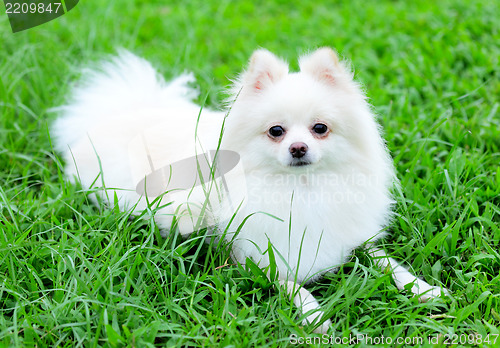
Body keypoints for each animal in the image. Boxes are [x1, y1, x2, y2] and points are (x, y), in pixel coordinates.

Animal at [51, 47, 450, 334]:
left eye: (320, 128)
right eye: (276, 131)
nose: (298, 148)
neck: (302, 188)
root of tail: (123, 113)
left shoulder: (351, 237)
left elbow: (386, 261)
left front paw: (424, 289)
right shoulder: (258, 254)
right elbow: (293, 286)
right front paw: (315, 316)